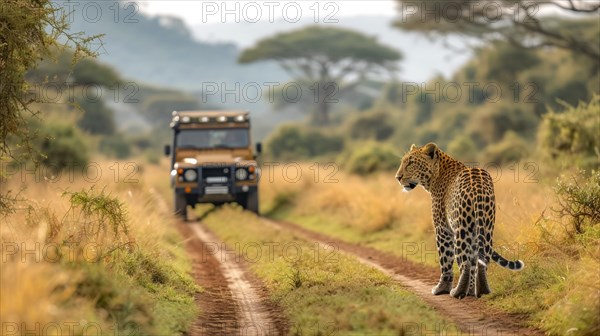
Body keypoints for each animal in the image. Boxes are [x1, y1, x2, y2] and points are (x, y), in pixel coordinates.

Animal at [396, 143, 524, 298]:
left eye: (411, 163)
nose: (398, 177)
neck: (436, 175)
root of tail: (477, 187)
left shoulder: (442, 228)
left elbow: (445, 260)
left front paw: (441, 288)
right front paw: (471, 289)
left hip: (461, 230)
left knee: (465, 263)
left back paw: (457, 291)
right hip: (485, 228)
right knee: (482, 260)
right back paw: (481, 290)